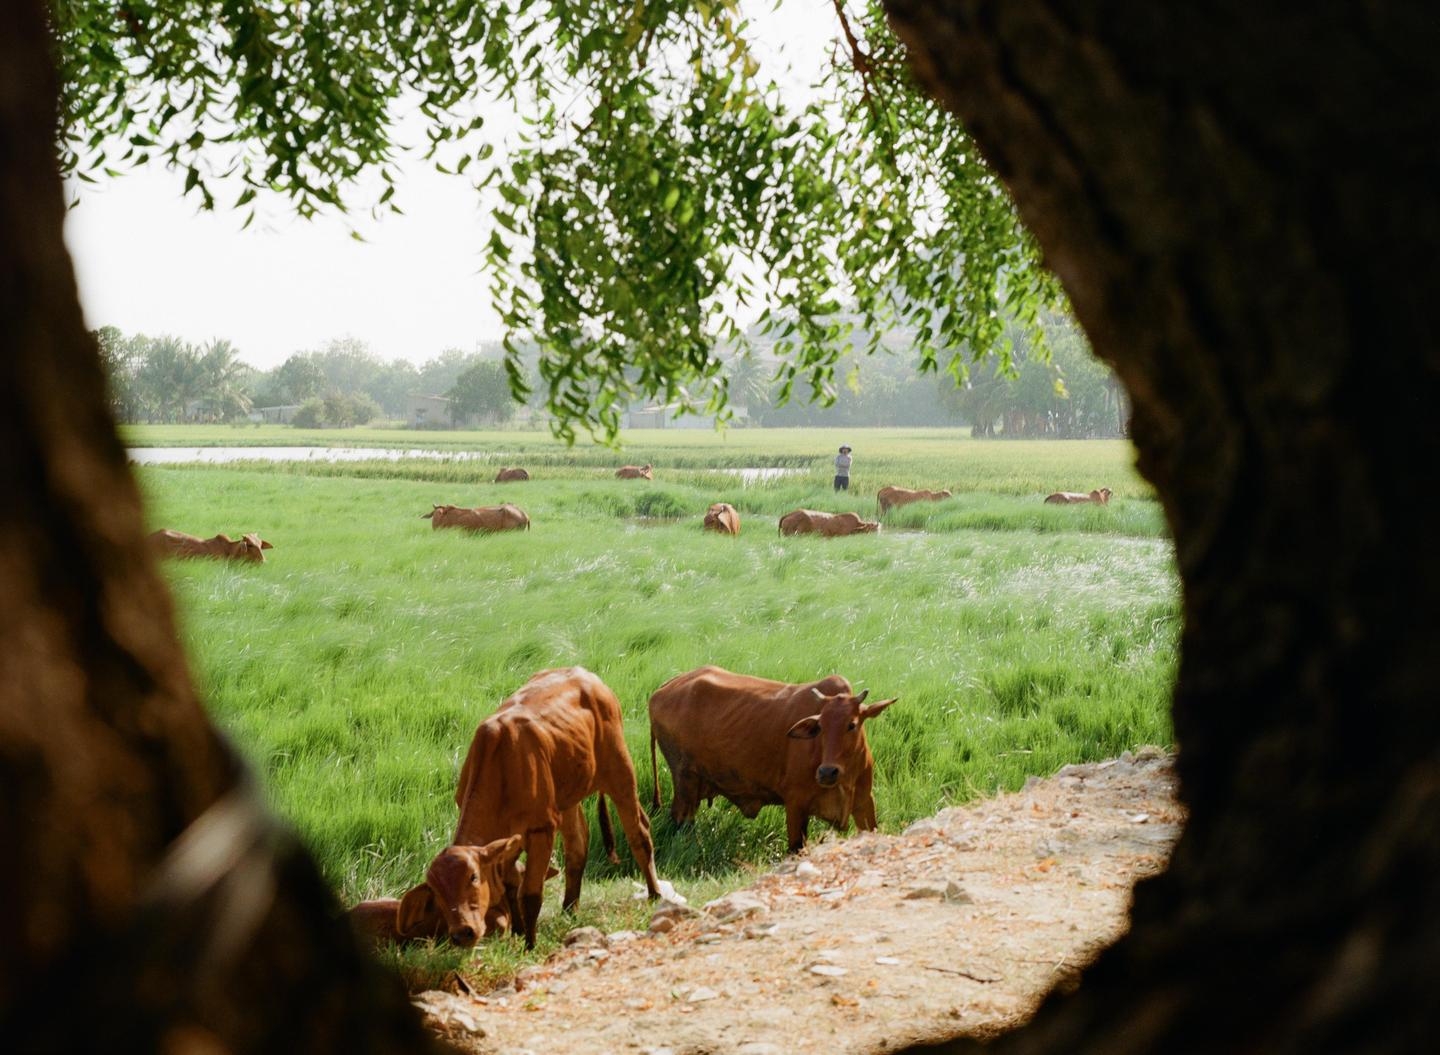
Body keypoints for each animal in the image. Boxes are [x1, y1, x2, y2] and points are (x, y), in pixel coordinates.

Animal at [401, 667, 662, 949]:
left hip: (620, 770)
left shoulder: (541, 829)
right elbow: (510, 884)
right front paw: (517, 931)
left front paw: (529, 943)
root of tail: (587, 674)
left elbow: (531, 892)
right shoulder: (509, 841)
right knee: (577, 845)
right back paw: (569, 909)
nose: (462, 933)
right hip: (568, 798)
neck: (500, 769)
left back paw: (654, 894)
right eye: (436, 893)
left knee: (639, 833)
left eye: (473, 877)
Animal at [649, 667, 896, 853]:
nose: (827, 772)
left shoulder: (865, 802)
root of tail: (661, 690)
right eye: (820, 727)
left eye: (851, 725)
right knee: (682, 820)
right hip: (685, 781)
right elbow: (796, 847)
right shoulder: (795, 804)